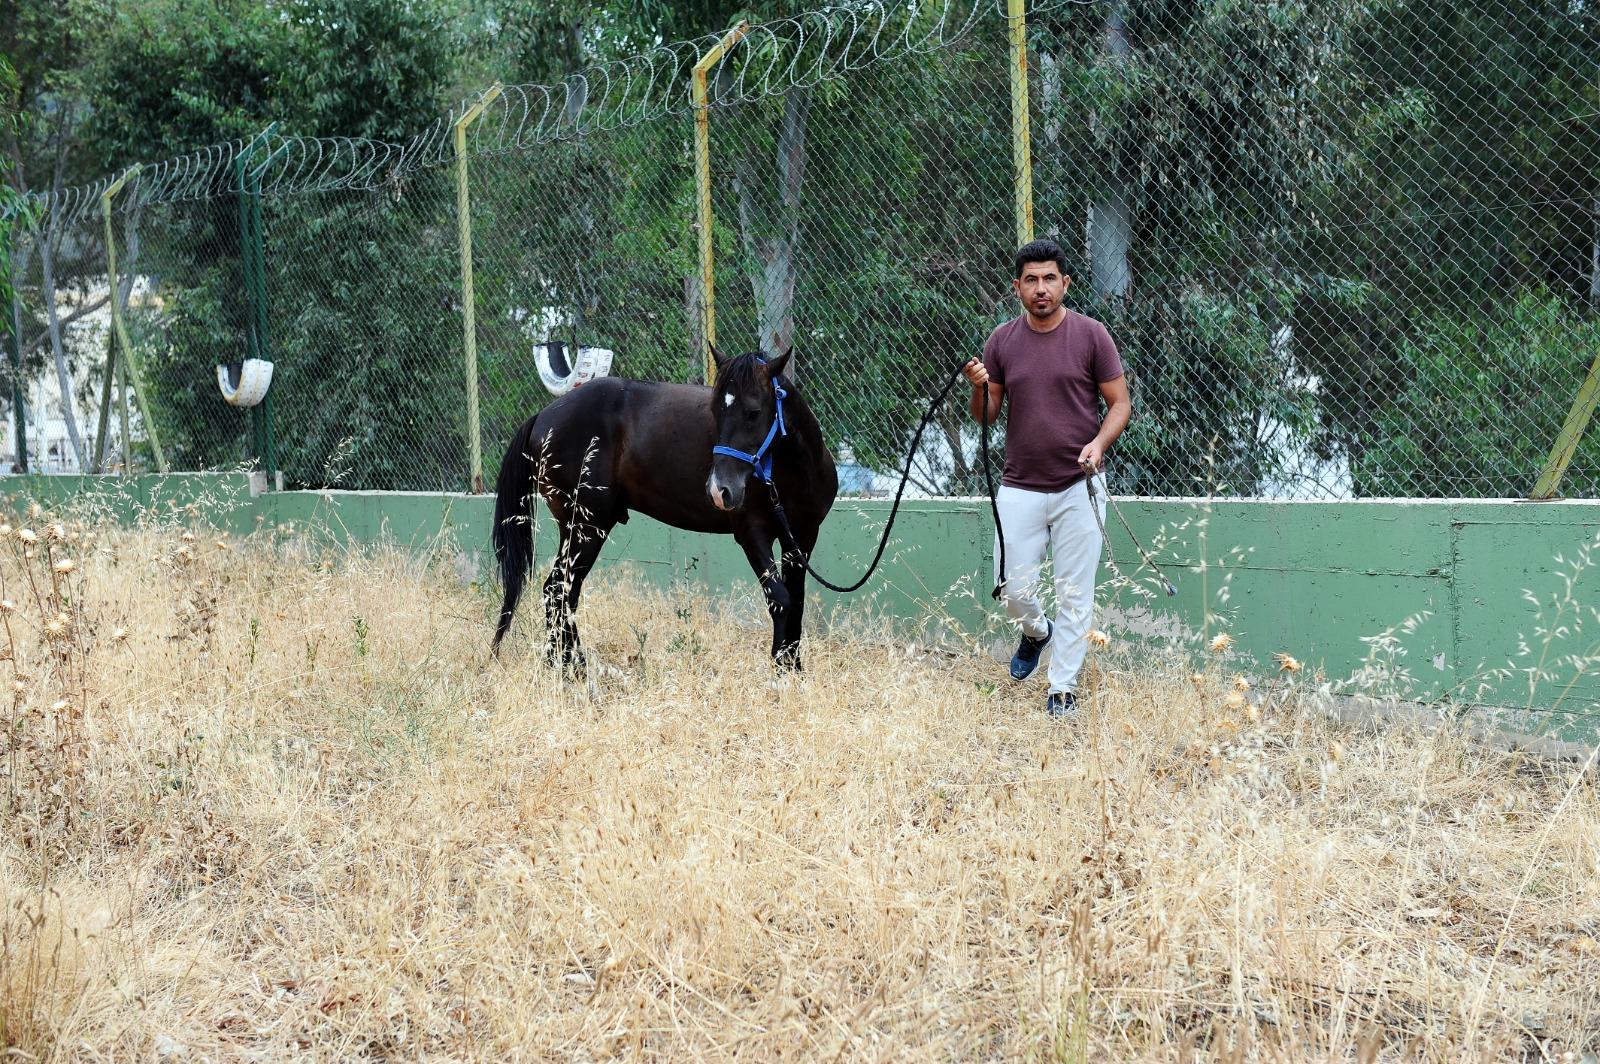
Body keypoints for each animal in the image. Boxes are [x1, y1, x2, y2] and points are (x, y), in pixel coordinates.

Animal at [486, 348, 838, 665]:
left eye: (753, 412)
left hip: (580, 528)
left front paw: (794, 670)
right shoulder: (752, 535)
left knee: (562, 591)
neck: (790, 471)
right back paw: (573, 669)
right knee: (559, 590)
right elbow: (780, 599)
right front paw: (781, 672)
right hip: (587, 527)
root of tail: (544, 416)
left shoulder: (802, 538)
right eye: (715, 412)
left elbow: (796, 603)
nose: (719, 490)